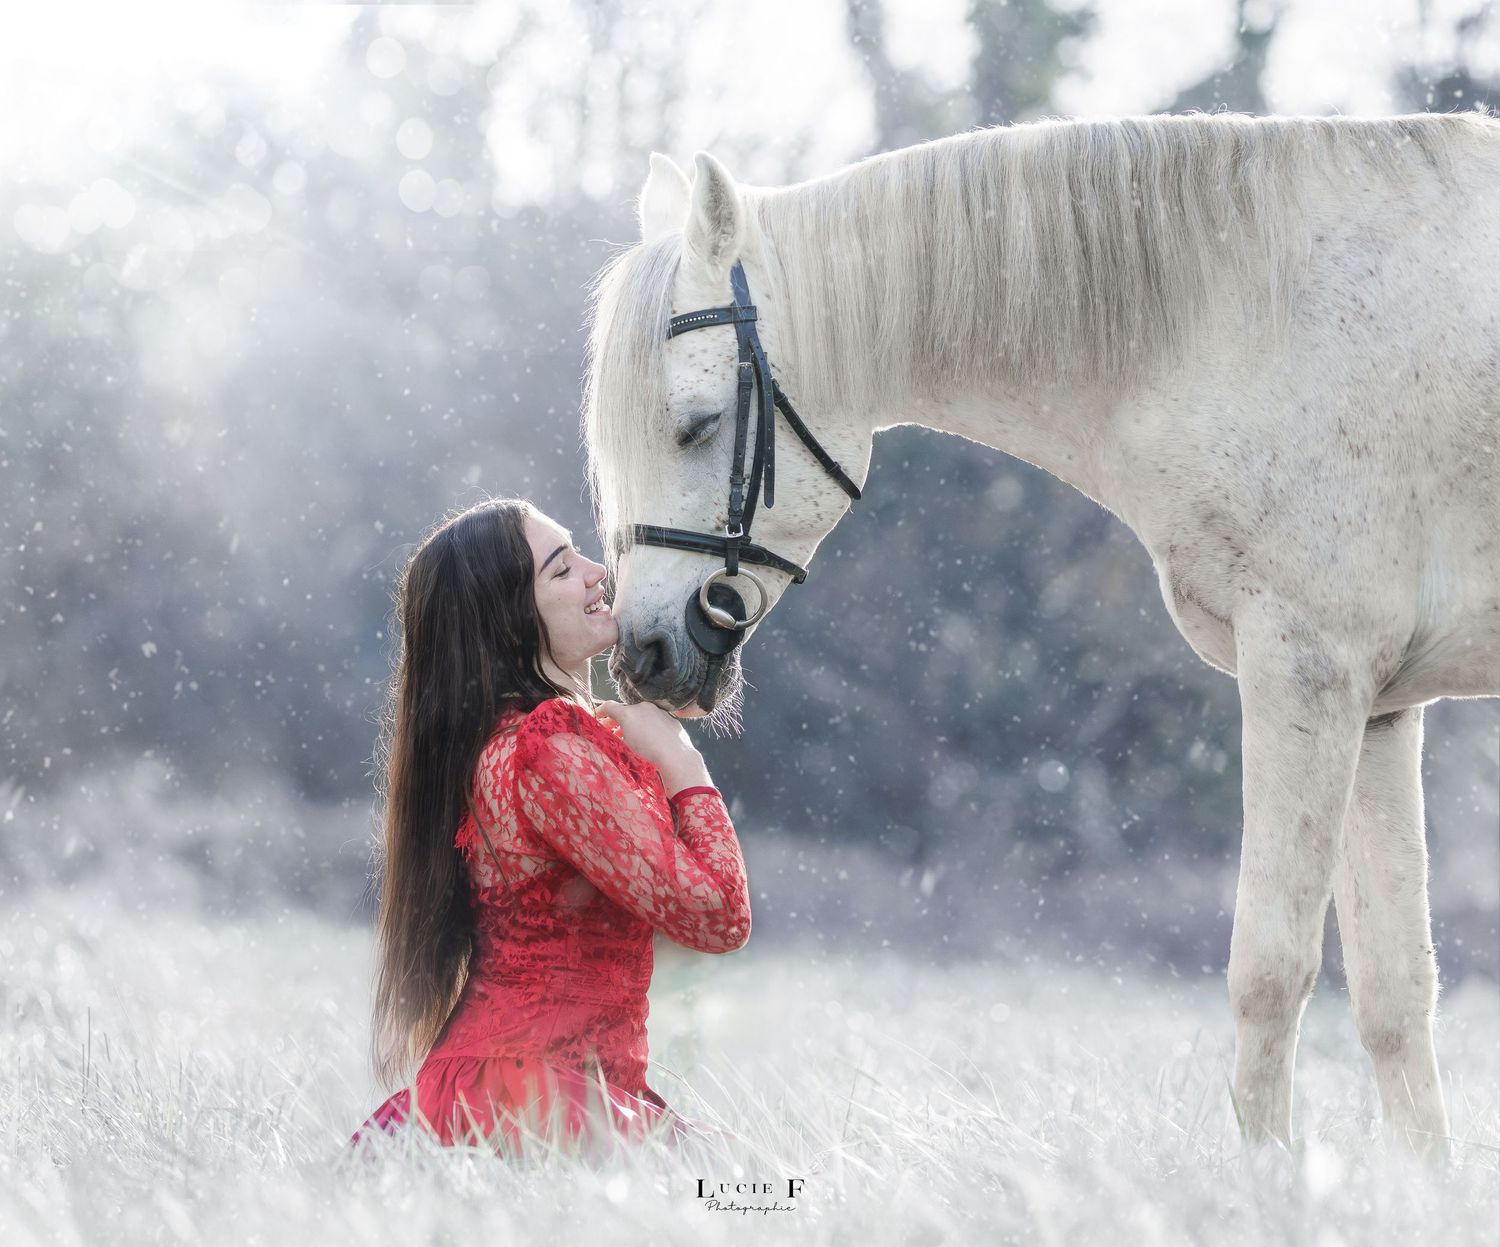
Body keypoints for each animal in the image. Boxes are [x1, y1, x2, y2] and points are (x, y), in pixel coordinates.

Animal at [580, 112, 1500, 1155]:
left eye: (696, 425)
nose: (643, 654)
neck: (1246, 319)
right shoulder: (1379, 708)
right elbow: (1396, 996)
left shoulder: (1307, 673)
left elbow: (1270, 971)